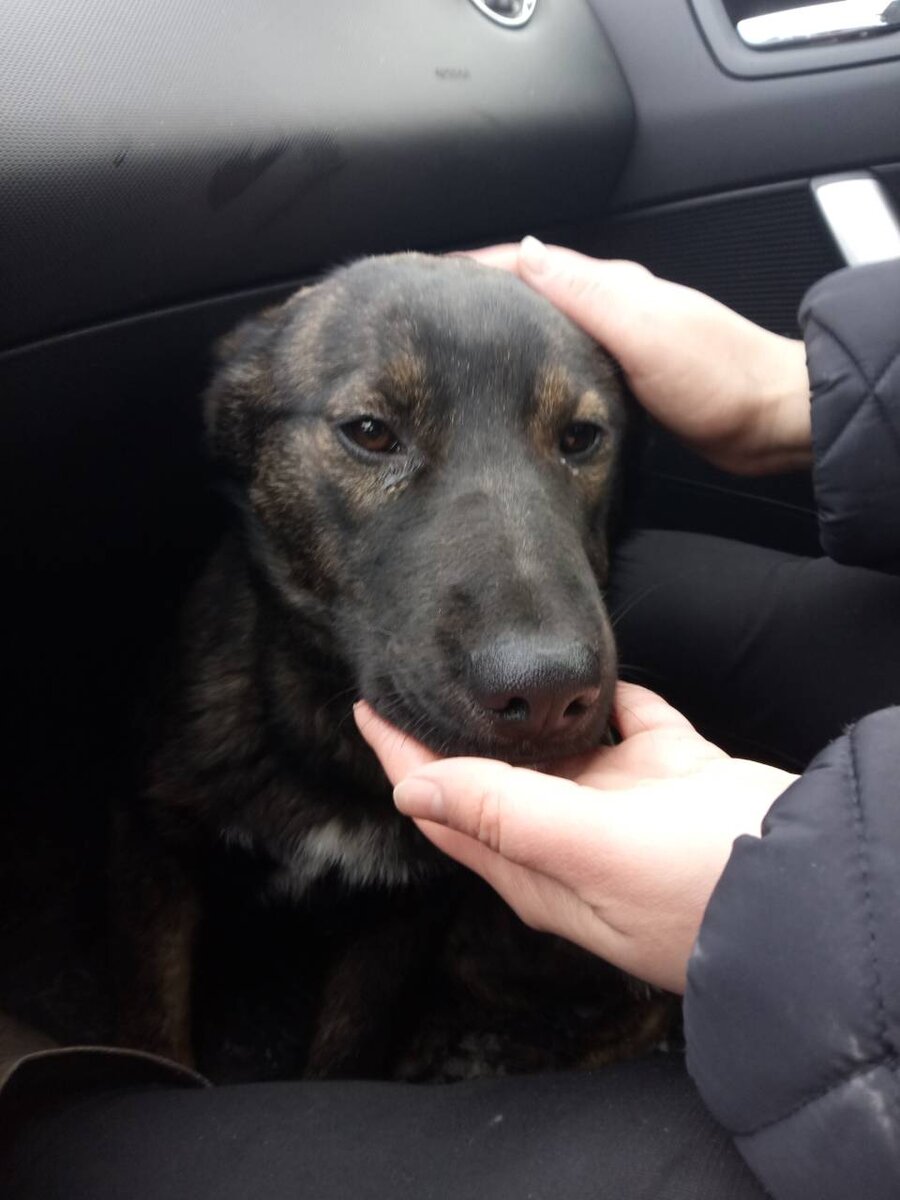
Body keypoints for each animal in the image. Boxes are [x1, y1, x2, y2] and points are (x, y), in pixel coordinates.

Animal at [114, 253, 671, 1081]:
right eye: (371, 432)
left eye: (581, 437)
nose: (548, 693)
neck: (329, 743)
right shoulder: (159, 853)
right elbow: (152, 1033)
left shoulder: (408, 915)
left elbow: (348, 1047)